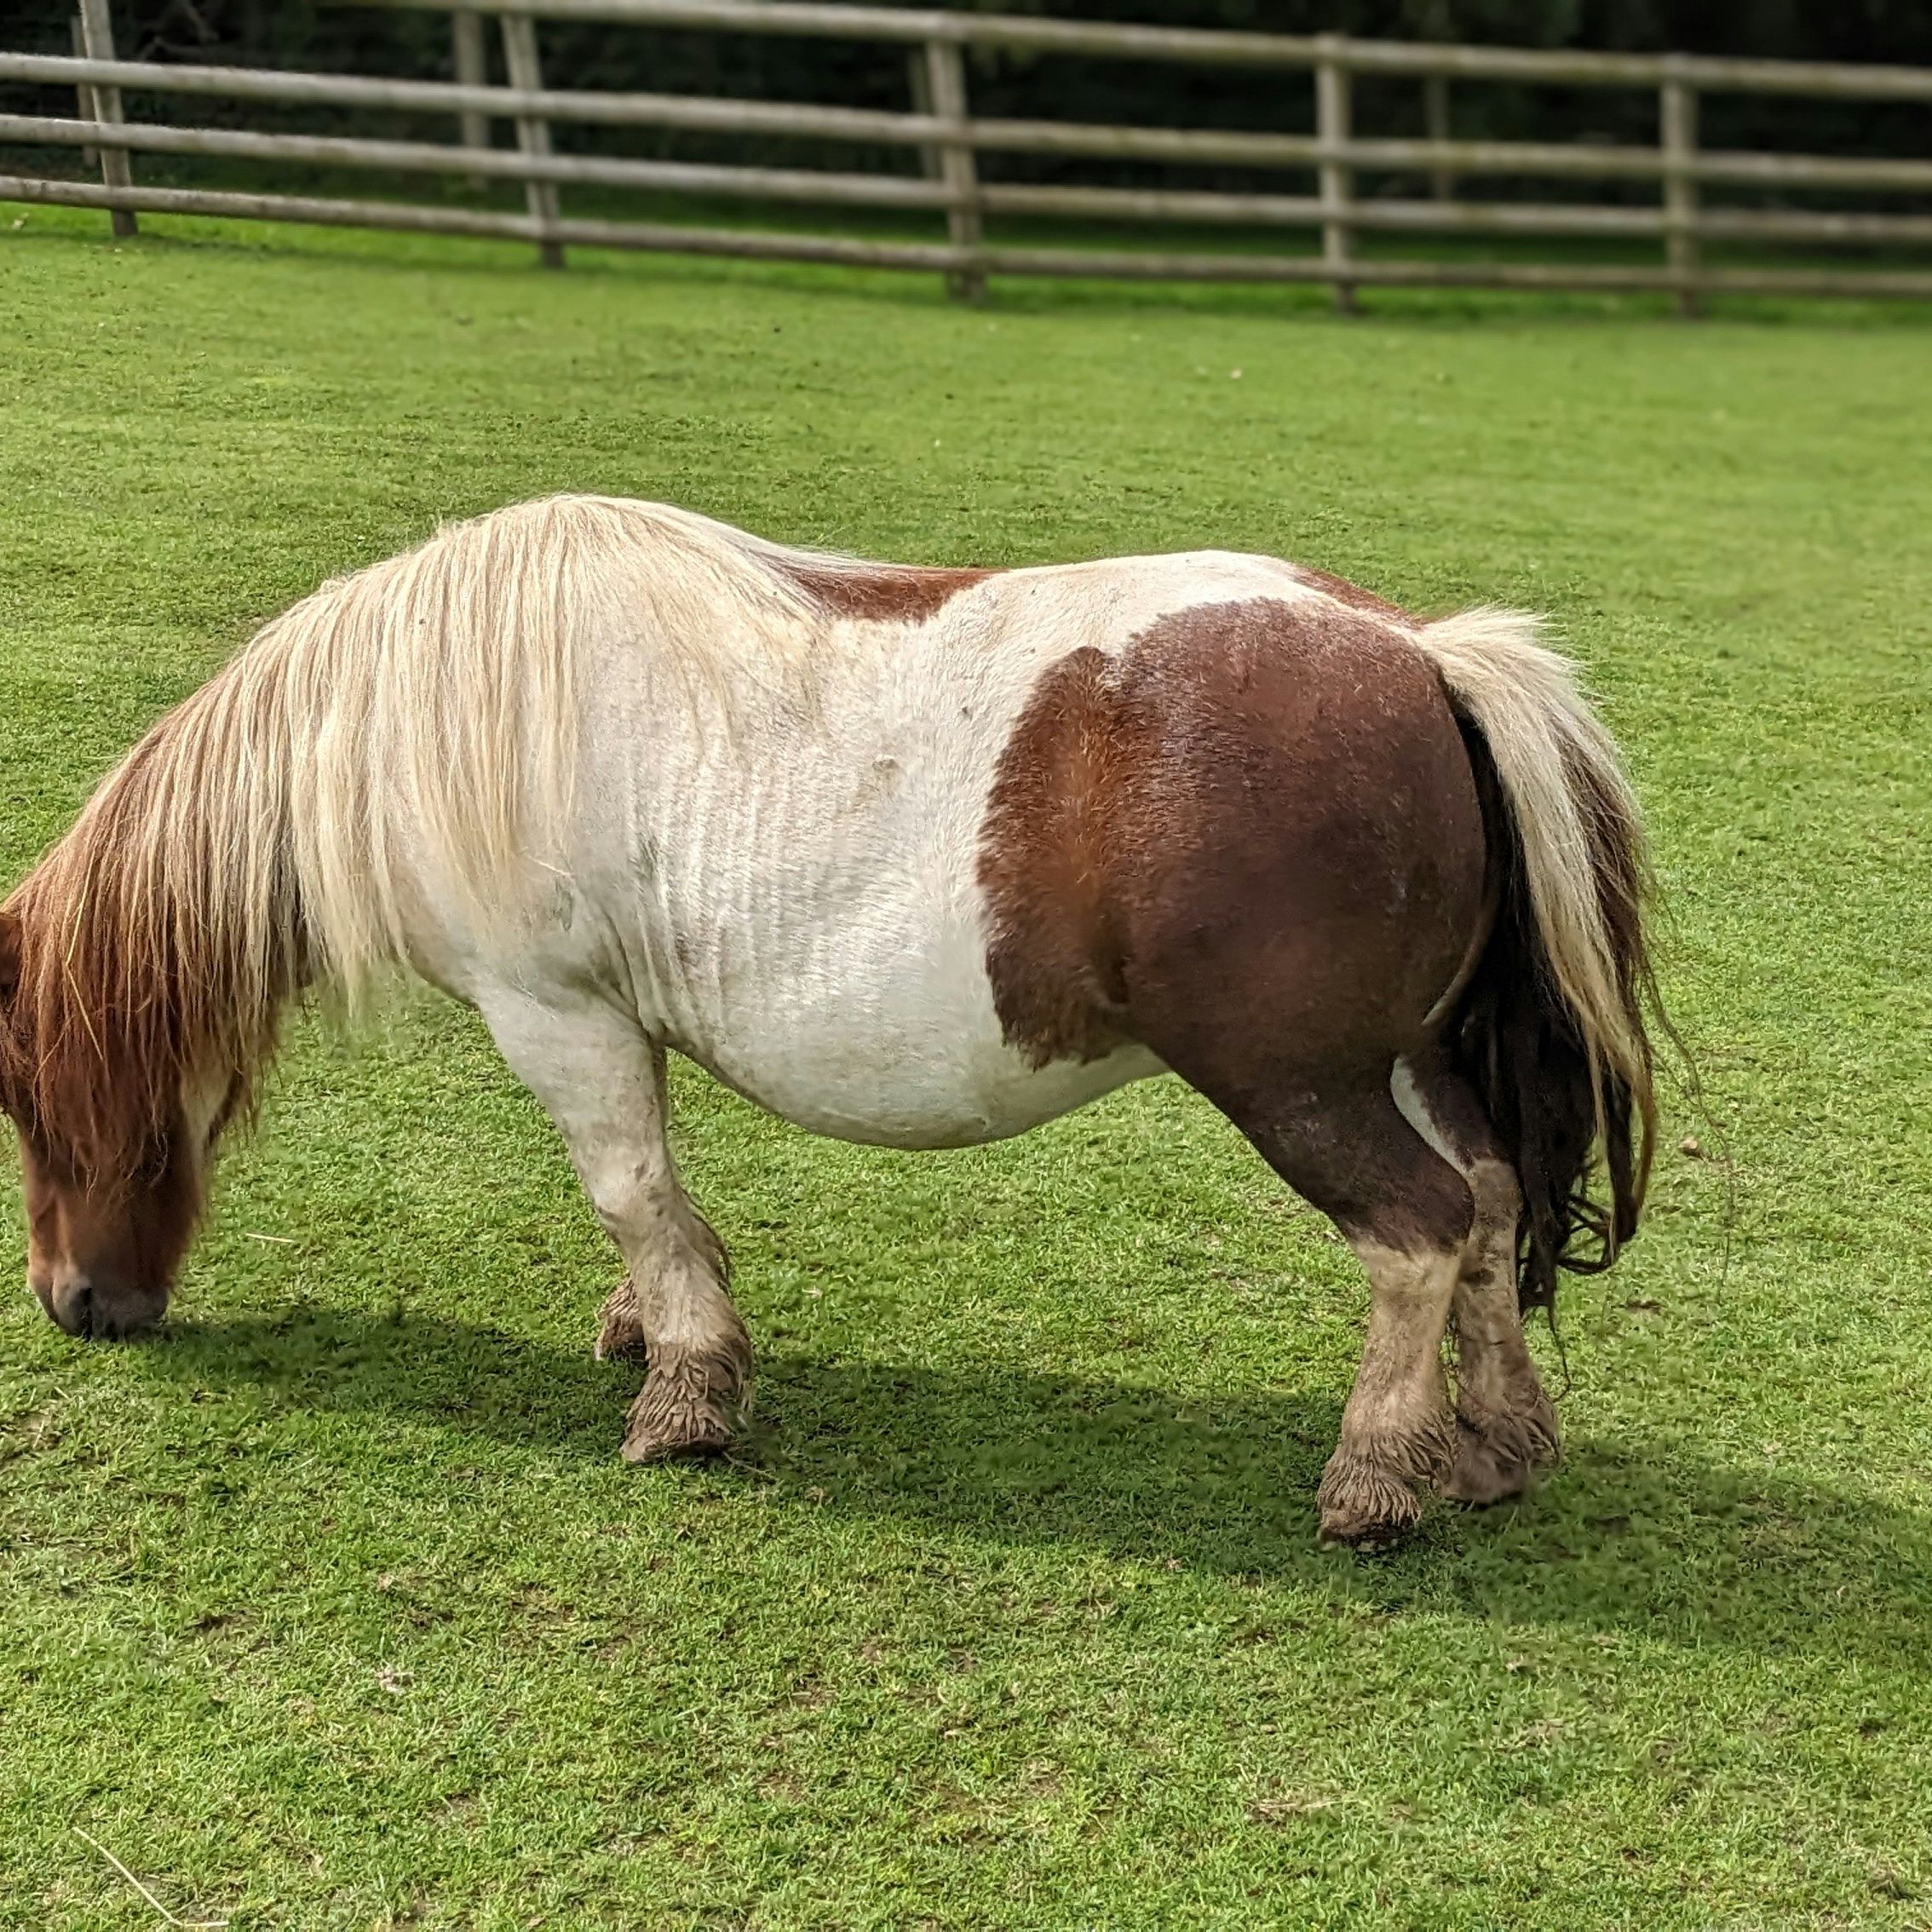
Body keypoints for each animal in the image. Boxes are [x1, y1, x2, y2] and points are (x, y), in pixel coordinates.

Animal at [0, 496, 1660, 1545]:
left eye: (23, 1084)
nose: (75, 1303)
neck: (424, 709)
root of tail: (1424, 652)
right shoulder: (613, 1018)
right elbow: (653, 1205)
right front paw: (647, 1327)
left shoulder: (556, 1016)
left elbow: (632, 1190)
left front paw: (684, 1392)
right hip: (1404, 1057)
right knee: (1490, 1198)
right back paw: (1493, 1444)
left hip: (1300, 1086)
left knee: (1418, 1229)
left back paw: (1372, 1478)